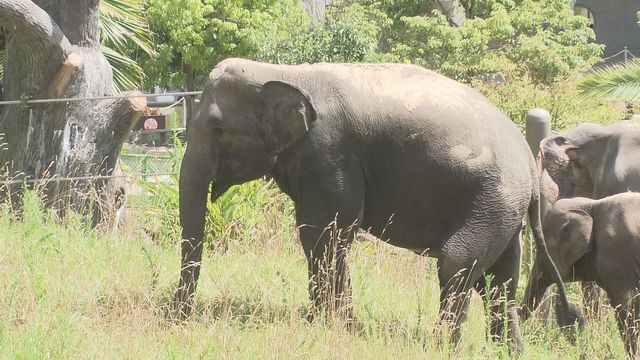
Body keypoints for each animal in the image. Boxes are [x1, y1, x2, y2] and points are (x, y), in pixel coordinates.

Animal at [171, 58, 580, 348]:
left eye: (218, 130)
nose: (178, 319)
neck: (282, 72)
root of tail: (530, 166)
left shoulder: (332, 154)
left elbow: (323, 234)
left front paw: (325, 327)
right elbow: (325, 235)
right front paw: (343, 328)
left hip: (493, 201)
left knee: (458, 264)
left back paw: (441, 347)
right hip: (504, 211)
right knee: (500, 280)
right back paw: (505, 350)